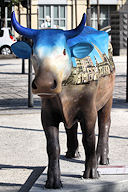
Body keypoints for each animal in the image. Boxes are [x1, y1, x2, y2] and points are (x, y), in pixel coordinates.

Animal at [11, 12, 115, 189]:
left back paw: (103, 158)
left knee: (104, 124)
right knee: (71, 126)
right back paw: (72, 153)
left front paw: (91, 173)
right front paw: (53, 181)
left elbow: (89, 139)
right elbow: (53, 147)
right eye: (33, 53)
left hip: (108, 98)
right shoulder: (47, 114)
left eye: (64, 51)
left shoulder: (89, 112)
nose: (44, 84)